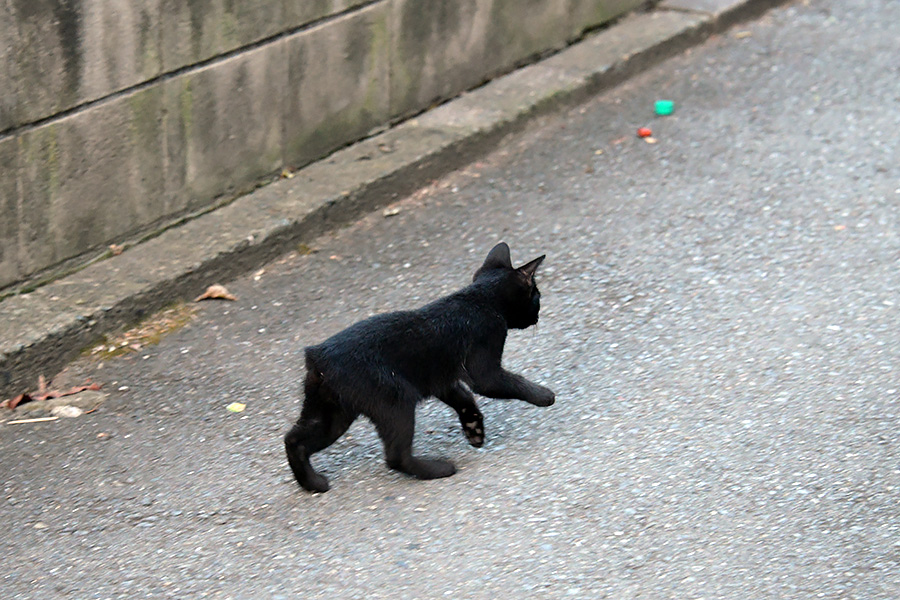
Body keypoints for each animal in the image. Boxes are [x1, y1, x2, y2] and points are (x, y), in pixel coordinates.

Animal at [286, 243, 556, 492]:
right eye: (537, 296)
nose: (538, 315)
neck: (479, 299)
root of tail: (319, 357)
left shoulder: (441, 378)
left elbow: (463, 398)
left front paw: (474, 429)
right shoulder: (484, 370)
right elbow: (511, 383)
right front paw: (544, 396)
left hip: (332, 413)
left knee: (294, 439)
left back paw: (312, 483)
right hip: (395, 400)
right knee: (395, 456)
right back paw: (438, 469)